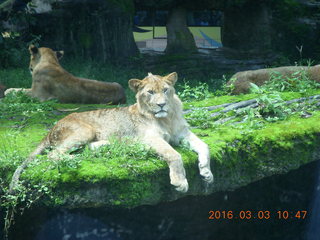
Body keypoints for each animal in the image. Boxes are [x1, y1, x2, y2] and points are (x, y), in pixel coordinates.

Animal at [10, 71, 214, 193]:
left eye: (165, 90)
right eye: (150, 92)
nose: (162, 104)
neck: (167, 118)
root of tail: (52, 127)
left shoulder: (182, 134)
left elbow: (205, 146)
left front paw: (206, 172)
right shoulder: (151, 138)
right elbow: (174, 155)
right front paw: (180, 182)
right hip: (84, 129)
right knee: (53, 155)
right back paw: (76, 159)